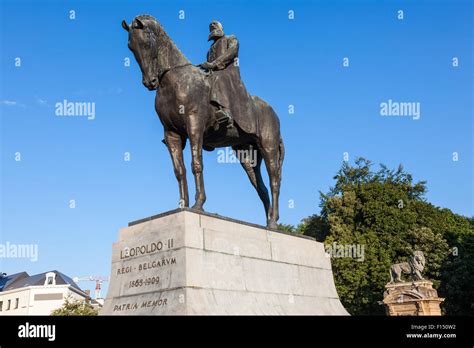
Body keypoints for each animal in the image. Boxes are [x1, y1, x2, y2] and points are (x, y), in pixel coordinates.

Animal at [123, 15, 286, 228]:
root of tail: (273, 112)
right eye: (130, 47)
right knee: (261, 187)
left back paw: (274, 223)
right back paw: (268, 222)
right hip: (246, 155)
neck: (173, 81)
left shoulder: (195, 126)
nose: (149, 82)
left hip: (268, 147)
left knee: (274, 180)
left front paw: (198, 204)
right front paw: (182, 205)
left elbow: (196, 164)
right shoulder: (172, 133)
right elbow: (179, 170)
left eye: (146, 42)